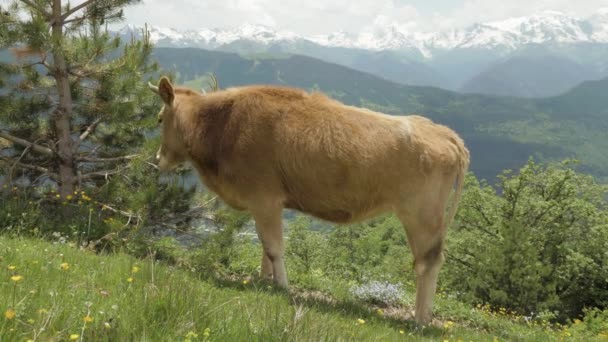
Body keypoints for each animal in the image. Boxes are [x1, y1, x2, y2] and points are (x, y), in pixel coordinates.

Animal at [147, 76, 470, 324]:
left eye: (160, 118)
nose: (158, 160)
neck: (224, 123)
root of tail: (444, 132)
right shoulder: (266, 205)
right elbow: (264, 248)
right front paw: (263, 281)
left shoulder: (264, 198)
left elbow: (274, 248)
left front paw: (282, 287)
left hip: (422, 215)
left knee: (428, 262)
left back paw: (420, 319)